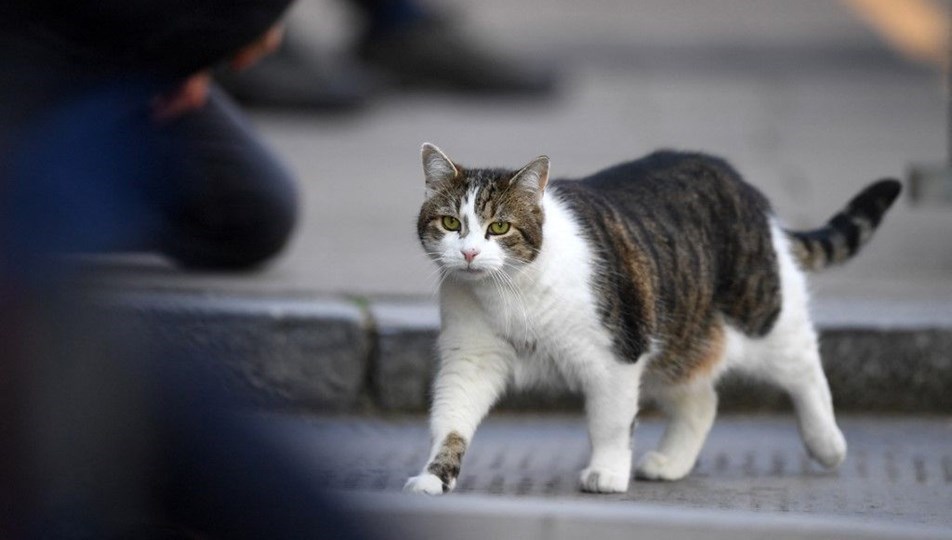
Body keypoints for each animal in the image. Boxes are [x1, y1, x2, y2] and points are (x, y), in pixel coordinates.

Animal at [406, 142, 904, 494]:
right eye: (451, 224)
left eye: (499, 228)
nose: (469, 253)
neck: (507, 292)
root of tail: (742, 185)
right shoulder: (472, 358)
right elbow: (451, 420)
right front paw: (434, 476)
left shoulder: (616, 356)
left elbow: (610, 422)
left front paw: (607, 472)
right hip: (675, 341)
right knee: (702, 402)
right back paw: (670, 463)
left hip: (760, 316)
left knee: (804, 365)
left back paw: (828, 444)